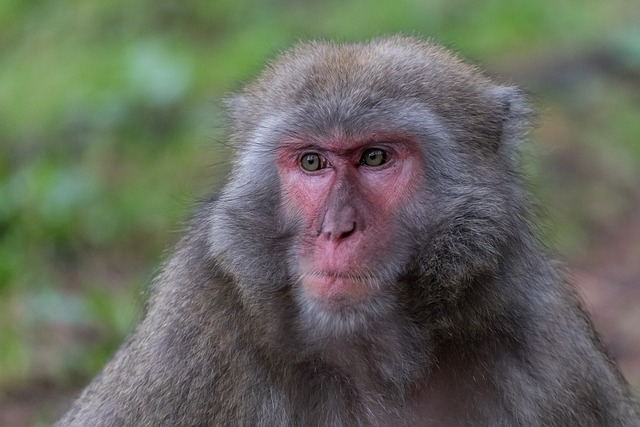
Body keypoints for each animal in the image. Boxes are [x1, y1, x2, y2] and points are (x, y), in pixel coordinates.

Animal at [56, 36, 639, 426]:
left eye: (375, 157)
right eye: (312, 161)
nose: (337, 231)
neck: (373, 360)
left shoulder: (550, 348)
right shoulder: (187, 338)